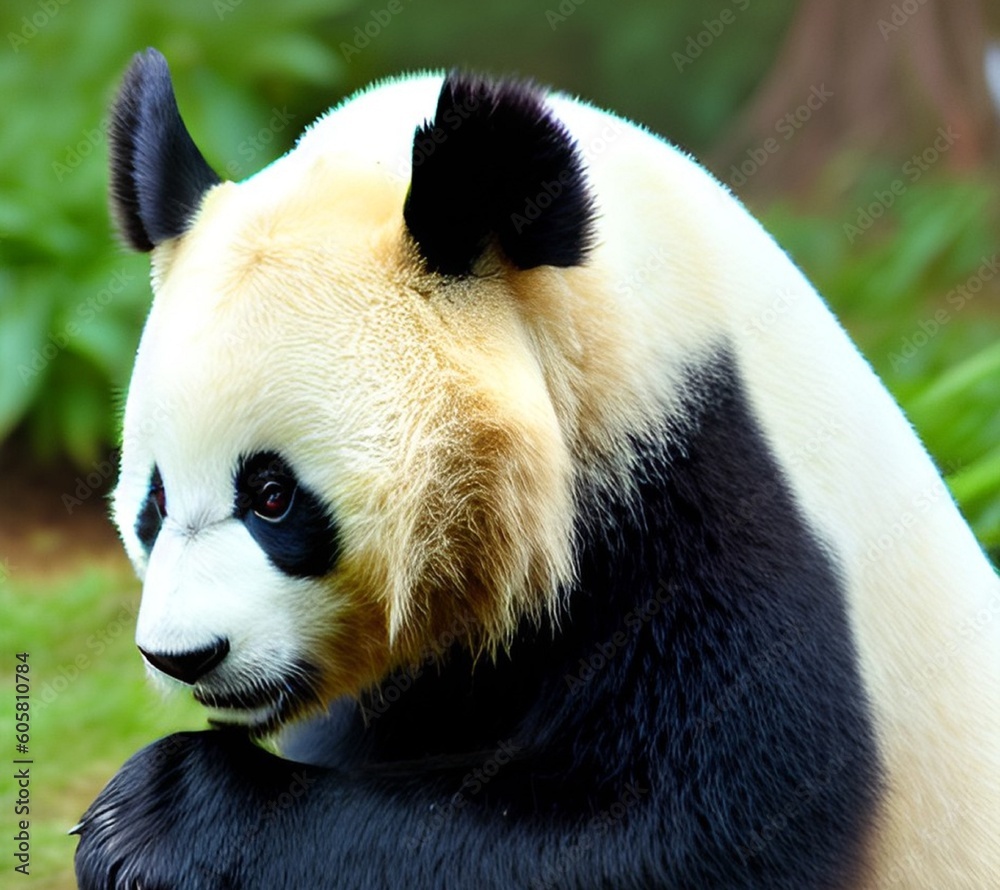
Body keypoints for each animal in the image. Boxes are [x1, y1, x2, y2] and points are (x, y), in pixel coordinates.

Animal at [74, 48, 1000, 889]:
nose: (183, 656)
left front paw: (156, 817)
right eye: (153, 502)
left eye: (272, 496)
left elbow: (695, 824)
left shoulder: (719, 504)